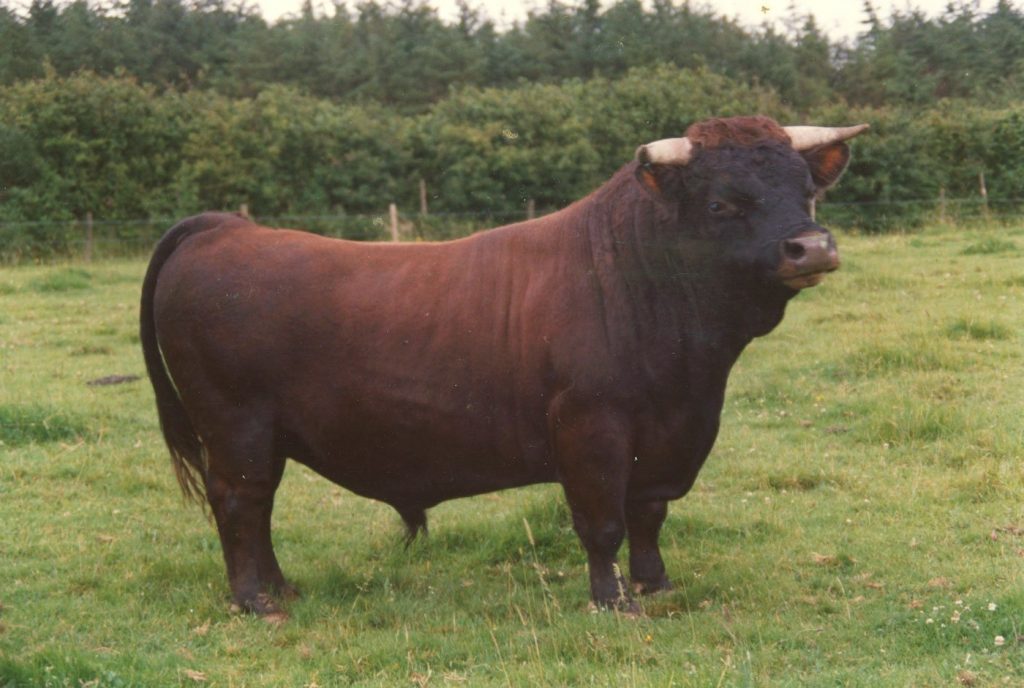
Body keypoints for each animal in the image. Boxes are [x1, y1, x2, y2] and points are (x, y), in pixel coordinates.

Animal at [140, 116, 867, 618]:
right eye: (721, 203)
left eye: (808, 191)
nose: (812, 247)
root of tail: (227, 229)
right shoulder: (591, 428)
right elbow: (602, 521)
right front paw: (613, 600)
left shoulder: (667, 437)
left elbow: (648, 514)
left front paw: (655, 583)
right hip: (234, 427)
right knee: (239, 502)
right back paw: (254, 601)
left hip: (263, 436)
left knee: (258, 507)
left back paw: (281, 586)